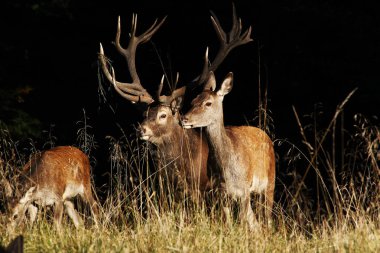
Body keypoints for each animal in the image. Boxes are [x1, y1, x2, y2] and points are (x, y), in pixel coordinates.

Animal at [182, 71, 276, 229]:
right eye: (193, 101)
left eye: (208, 103)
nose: (184, 119)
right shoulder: (220, 191)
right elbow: (228, 222)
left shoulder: (244, 189)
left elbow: (242, 222)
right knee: (255, 221)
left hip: (270, 182)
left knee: (267, 220)